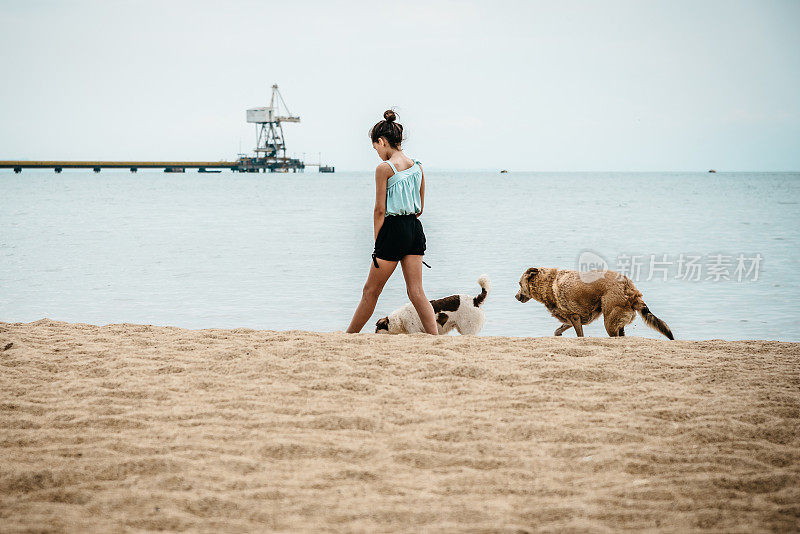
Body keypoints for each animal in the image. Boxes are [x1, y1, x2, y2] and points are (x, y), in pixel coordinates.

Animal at [512, 268, 676, 340]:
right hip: (619, 322)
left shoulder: (575, 317)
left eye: (519, 284)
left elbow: (580, 335)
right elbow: (558, 330)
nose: (516, 296)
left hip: (610, 323)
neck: (548, 283)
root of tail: (630, 289)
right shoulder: (574, 318)